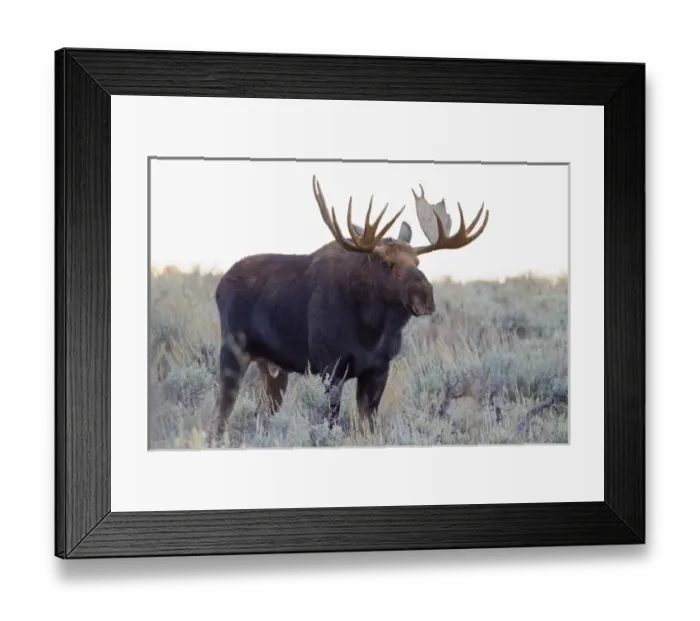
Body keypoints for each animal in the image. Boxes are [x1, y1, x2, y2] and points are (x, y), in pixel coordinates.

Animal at [211, 175, 489, 441]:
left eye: (417, 261)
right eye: (386, 262)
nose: (425, 296)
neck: (372, 330)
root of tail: (219, 286)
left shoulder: (379, 368)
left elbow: (369, 424)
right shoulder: (330, 366)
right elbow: (332, 421)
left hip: (273, 367)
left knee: (261, 413)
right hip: (233, 351)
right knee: (222, 413)